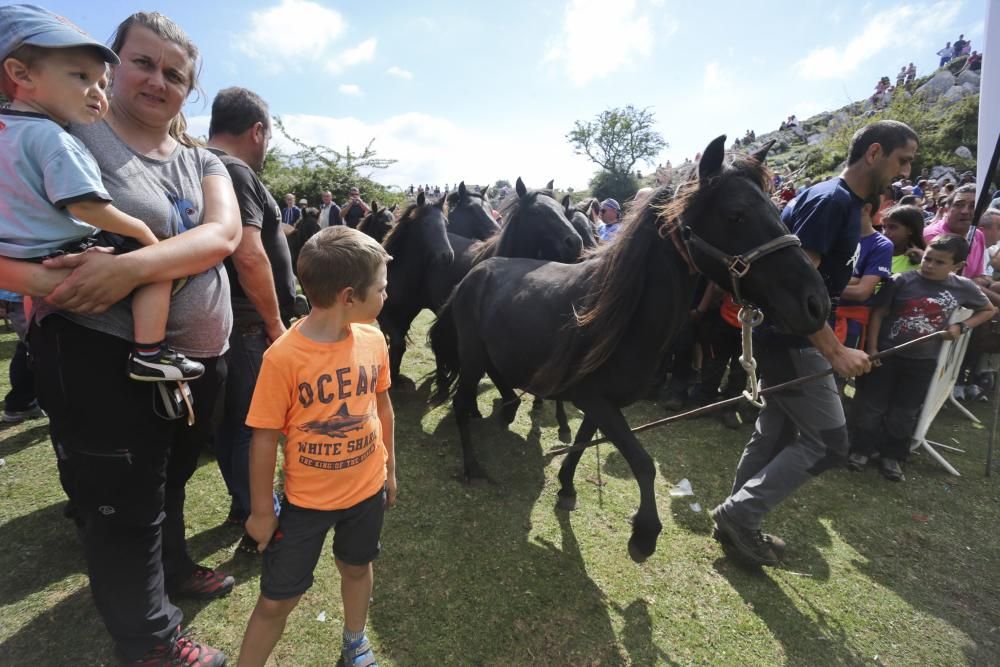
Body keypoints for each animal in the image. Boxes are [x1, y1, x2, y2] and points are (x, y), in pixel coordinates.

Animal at [378, 193, 454, 388]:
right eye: (426, 223)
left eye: (446, 223)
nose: (447, 256)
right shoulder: (384, 315)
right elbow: (398, 342)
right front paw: (392, 374)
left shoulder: (408, 314)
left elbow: (400, 343)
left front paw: (395, 373)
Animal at [430, 140, 828, 564]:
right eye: (734, 214)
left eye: (775, 207)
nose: (816, 303)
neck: (621, 317)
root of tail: (475, 272)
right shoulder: (595, 400)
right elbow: (642, 462)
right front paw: (645, 533)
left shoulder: (598, 401)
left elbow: (583, 442)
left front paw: (566, 486)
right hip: (473, 358)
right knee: (461, 403)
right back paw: (473, 467)